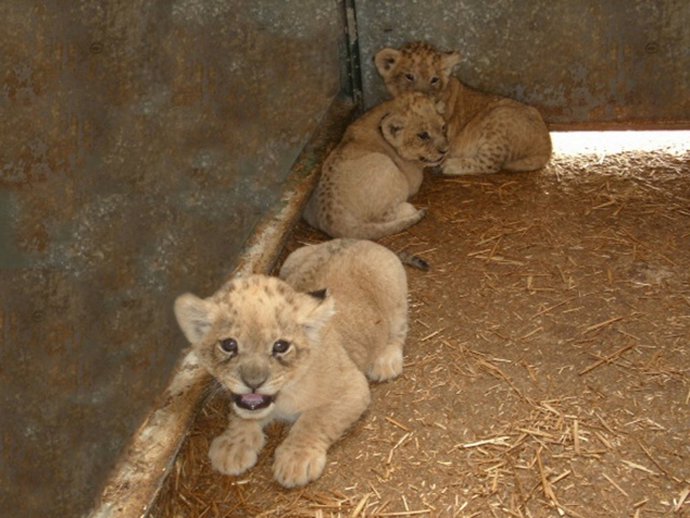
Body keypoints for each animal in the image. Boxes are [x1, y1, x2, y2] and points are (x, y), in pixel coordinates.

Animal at [173, 238, 408, 488]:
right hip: (293, 257)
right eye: (229, 345)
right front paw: (232, 445)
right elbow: (240, 415)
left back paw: (386, 362)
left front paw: (297, 459)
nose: (253, 383)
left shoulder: (353, 387)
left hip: (394, 292)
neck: (283, 395)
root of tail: (356, 240)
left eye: (280, 346)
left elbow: (315, 420)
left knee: (399, 330)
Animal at [303, 91, 448, 239]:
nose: (445, 150)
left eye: (443, 127)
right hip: (386, 165)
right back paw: (410, 209)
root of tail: (332, 221)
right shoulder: (413, 180)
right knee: (384, 217)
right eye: (423, 135)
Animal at [374, 41, 552, 176]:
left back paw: (450, 166)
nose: (423, 96)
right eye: (409, 76)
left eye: (434, 79)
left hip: (499, 117)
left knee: (490, 164)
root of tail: (547, 146)